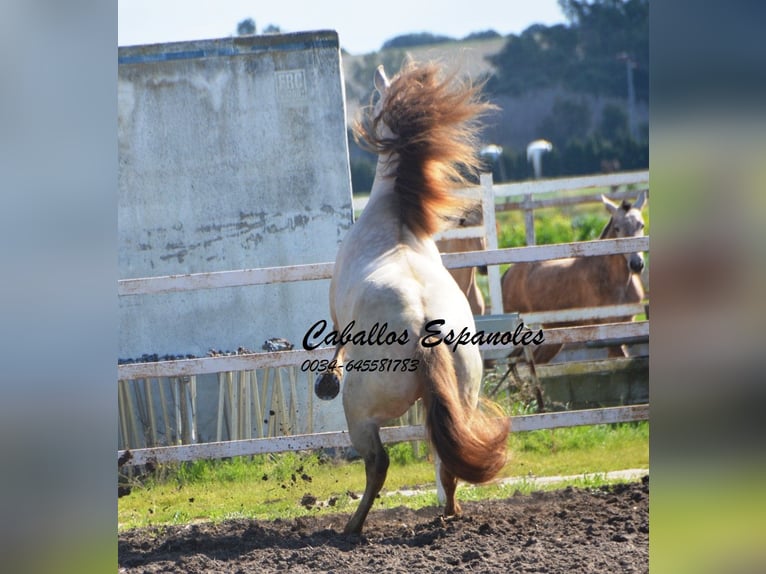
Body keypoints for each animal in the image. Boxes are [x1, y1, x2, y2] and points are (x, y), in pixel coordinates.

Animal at [320, 62, 512, 536]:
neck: (395, 222)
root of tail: (424, 326)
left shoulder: (337, 319)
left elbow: (334, 345)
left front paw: (326, 380)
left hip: (362, 411)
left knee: (378, 464)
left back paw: (352, 526)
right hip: (461, 399)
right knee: (448, 463)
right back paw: (449, 514)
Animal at [504, 194, 648, 364]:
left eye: (642, 225)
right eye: (617, 228)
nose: (636, 264)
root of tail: (508, 273)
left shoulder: (626, 324)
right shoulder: (607, 328)